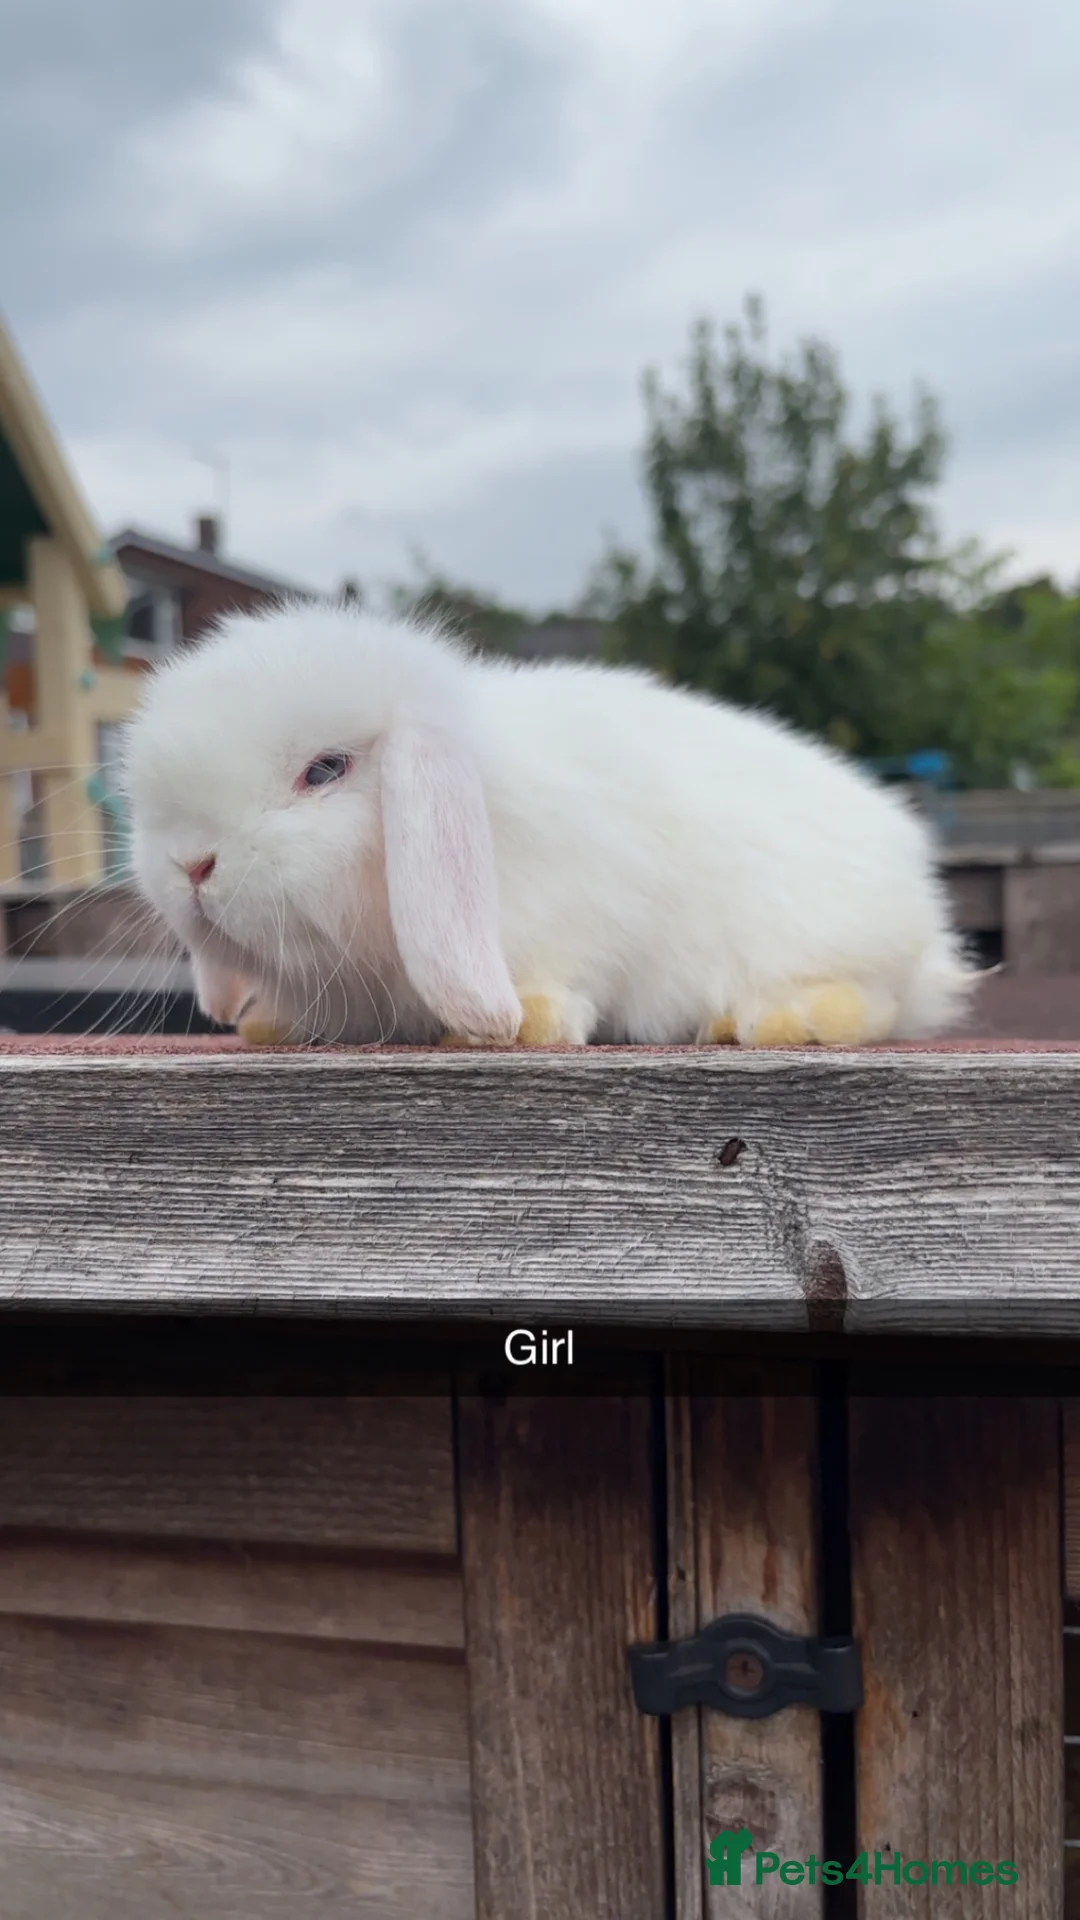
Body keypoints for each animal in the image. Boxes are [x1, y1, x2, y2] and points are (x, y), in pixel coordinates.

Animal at [121, 598, 975, 1050]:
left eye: (325, 770)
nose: (191, 865)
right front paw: (269, 1025)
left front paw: (518, 1024)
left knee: (877, 1004)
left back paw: (781, 1021)